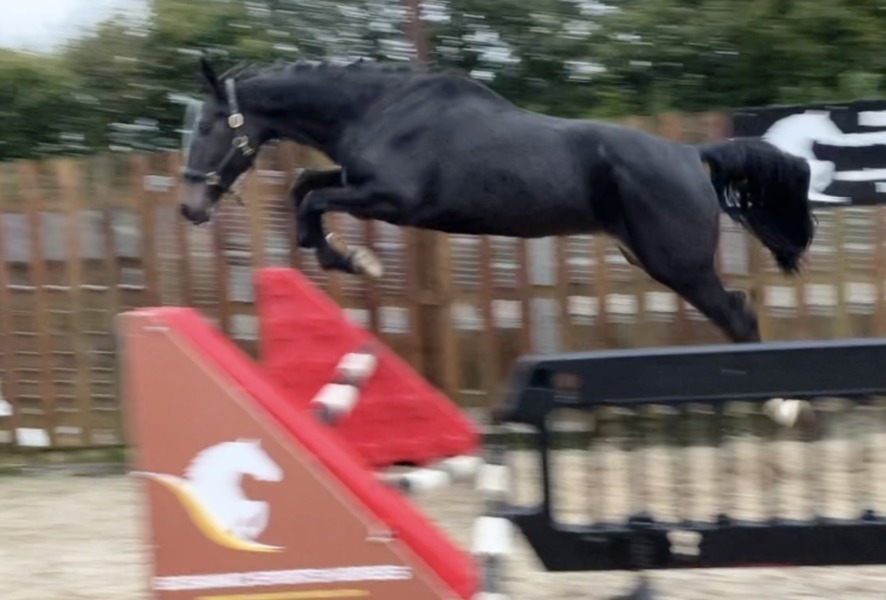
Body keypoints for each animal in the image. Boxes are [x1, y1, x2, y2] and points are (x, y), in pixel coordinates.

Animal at [178, 56, 816, 345]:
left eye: (207, 126)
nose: (190, 207)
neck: (378, 111)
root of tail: (691, 155)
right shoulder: (357, 182)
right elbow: (304, 186)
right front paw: (338, 253)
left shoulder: (393, 200)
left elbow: (313, 201)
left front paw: (356, 260)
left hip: (678, 266)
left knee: (736, 314)